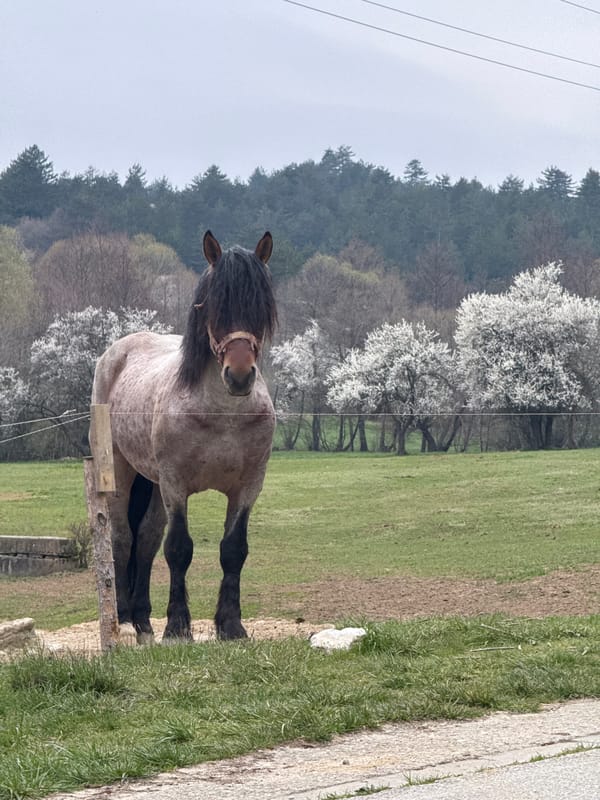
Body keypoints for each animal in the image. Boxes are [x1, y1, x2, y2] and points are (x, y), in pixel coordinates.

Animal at [90, 231, 277, 643]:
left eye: (261, 305)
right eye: (213, 304)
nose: (239, 375)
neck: (222, 414)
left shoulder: (248, 487)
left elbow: (233, 549)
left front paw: (231, 626)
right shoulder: (175, 485)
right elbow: (178, 549)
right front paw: (177, 627)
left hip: (152, 485)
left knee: (145, 539)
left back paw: (144, 621)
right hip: (123, 474)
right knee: (123, 536)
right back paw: (124, 618)